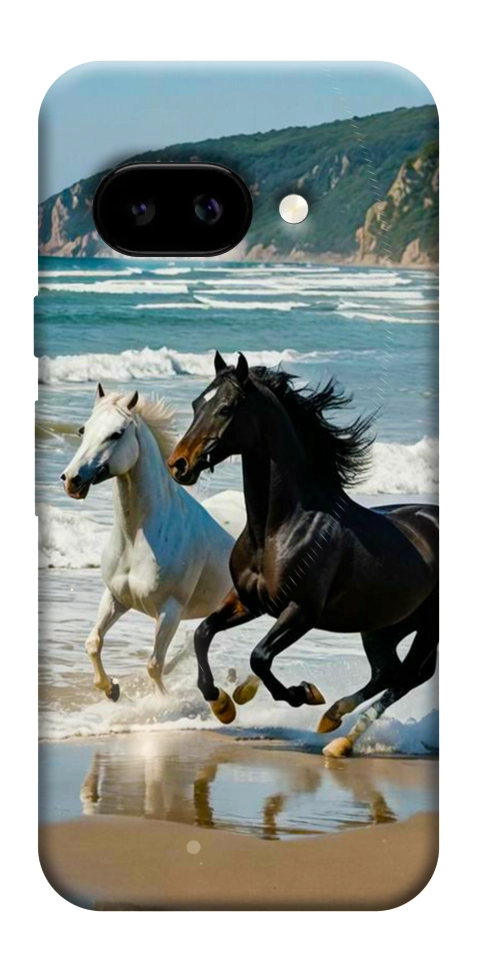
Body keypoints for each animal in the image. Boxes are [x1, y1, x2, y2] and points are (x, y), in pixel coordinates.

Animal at [61, 383, 234, 701]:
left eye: (117, 433)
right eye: (83, 430)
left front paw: (162, 703)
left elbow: (154, 664)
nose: (71, 480)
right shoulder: (116, 597)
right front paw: (111, 689)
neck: (137, 538)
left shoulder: (170, 611)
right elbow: (93, 643)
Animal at [167, 352, 439, 757]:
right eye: (197, 403)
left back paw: (339, 737)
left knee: (408, 676)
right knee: (387, 672)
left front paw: (302, 693)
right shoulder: (250, 601)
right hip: (383, 626)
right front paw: (223, 704)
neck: (279, 528)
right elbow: (203, 633)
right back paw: (333, 721)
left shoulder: (302, 611)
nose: (179, 464)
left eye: (226, 408)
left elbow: (260, 657)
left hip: (425, 629)